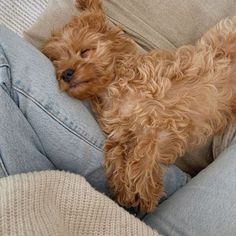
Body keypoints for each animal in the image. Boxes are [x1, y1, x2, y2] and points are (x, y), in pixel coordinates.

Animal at [42, 0, 236, 212]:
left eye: (85, 51)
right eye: (56, 61)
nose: (65, 73)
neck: (111, 87)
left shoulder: (156, 121)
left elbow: (141, 153)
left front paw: (143, 191)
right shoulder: (121, 131)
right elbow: (116, 152)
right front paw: (123, 190)